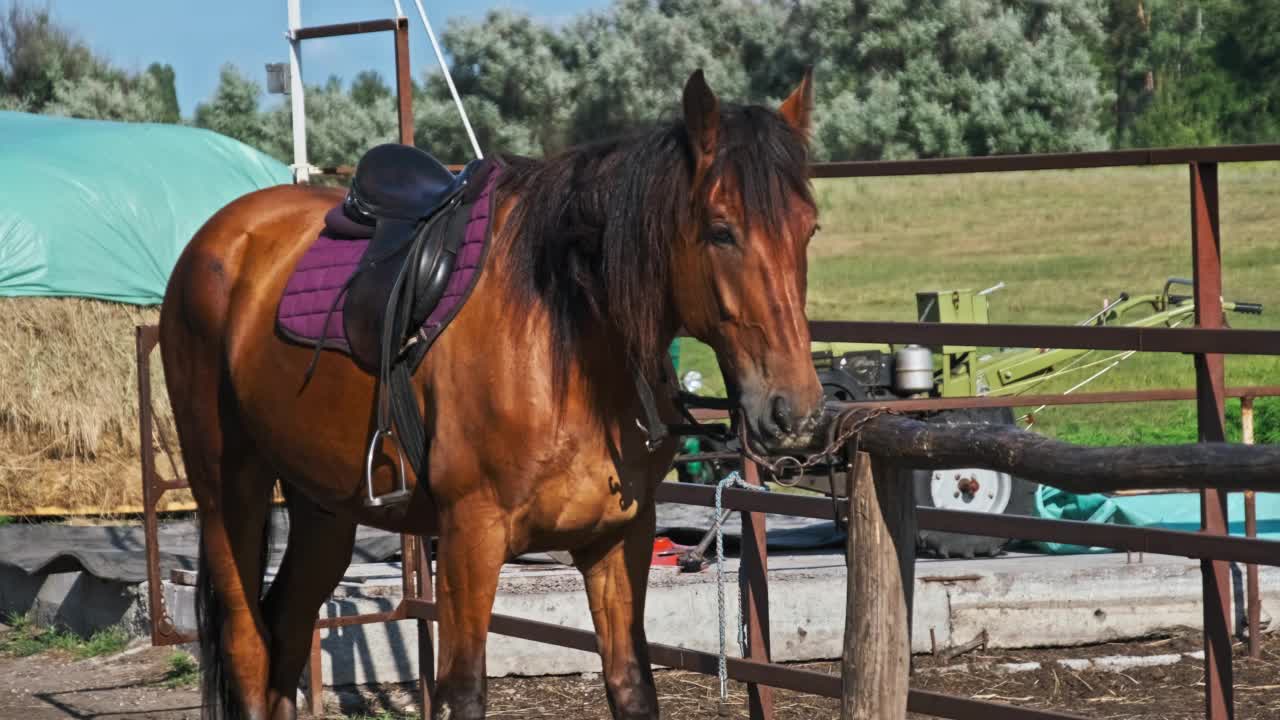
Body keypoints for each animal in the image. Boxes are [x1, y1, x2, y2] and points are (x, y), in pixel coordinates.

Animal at [162, 68, 819, 717]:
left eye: (808, 229)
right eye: (720, 231)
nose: (793, 412)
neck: (568, 345)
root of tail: (222, 236)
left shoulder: (618, 539)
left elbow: (631, 684)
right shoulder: (469, 540)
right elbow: (463, 691)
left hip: (323, 505)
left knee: (288, 629)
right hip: (228, 490)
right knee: (248, 645)